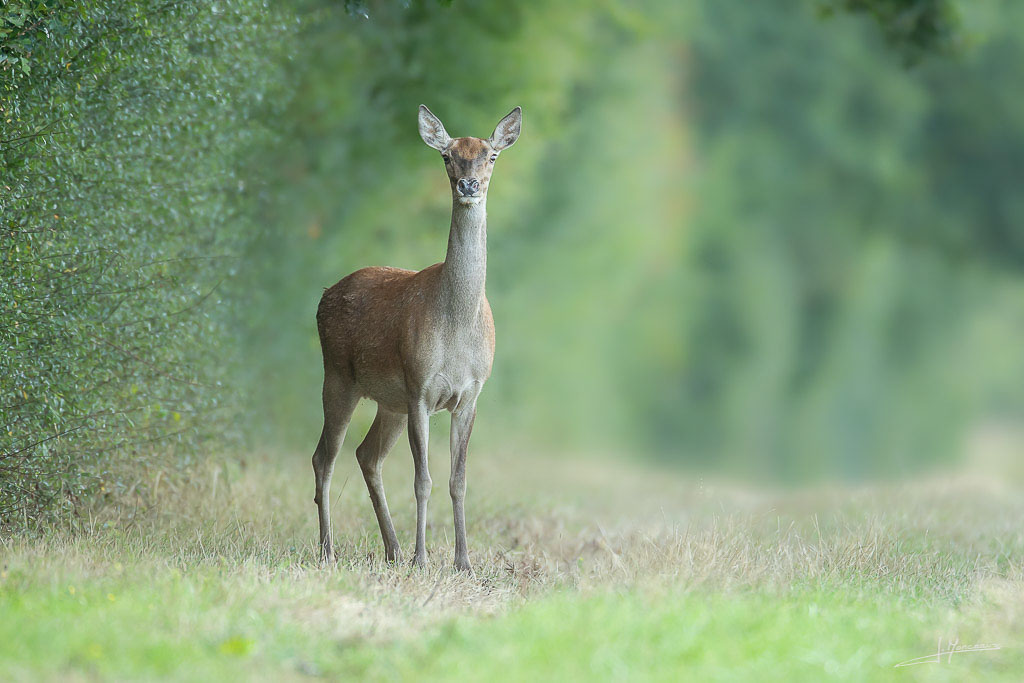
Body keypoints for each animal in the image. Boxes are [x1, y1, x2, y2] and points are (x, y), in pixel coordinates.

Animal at [311, 105, 522, 572]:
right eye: (447, 156)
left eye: (491, 155)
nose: (468, 185)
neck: (457, 327)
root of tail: (324, 294)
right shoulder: (420, 388)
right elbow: (422, 480)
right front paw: (422, 558)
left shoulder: (469, 395)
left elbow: (458, 480)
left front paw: (463, 562)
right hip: (338, 375)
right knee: (324, 457)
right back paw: (329, 550)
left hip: (388, 402)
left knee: (366, 455)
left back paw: (390, 548)